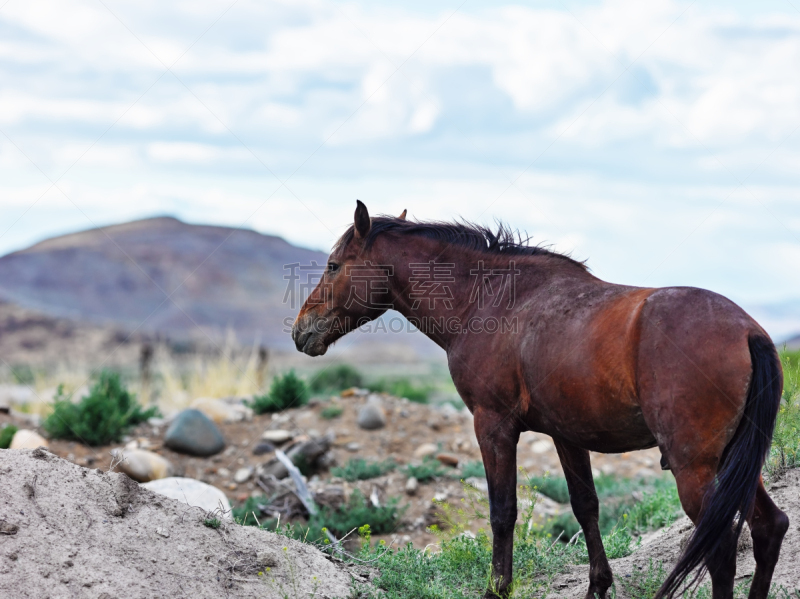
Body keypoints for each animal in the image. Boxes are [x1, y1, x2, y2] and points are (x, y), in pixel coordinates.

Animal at [290, 203, 784, 599]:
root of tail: (748, 331)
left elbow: (502, 512)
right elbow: (586, 508)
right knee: (769, 527)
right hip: (734, 465)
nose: (300, 330)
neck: (492, 303)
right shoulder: (568, 437)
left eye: (333, 265)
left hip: (694, 468)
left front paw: (497, 589)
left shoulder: (493, 426)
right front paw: (598, 587)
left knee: (722, 550)